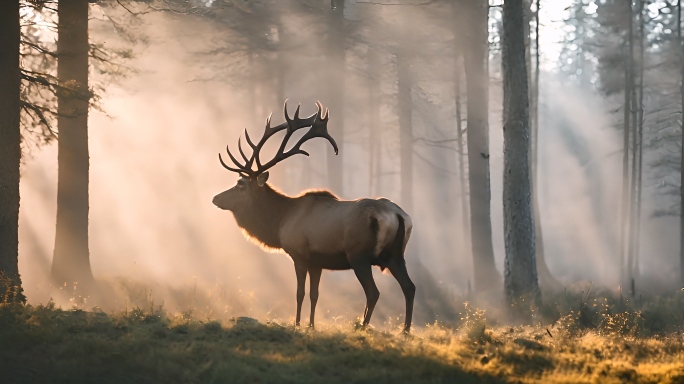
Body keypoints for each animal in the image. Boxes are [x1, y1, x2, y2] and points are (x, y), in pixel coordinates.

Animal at [214, 100, 416, 332]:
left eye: (240, 185)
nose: (215, 198)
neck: (281, 221)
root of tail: (398, 215)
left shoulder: (299, 254)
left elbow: (300, 293)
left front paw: (297, 323)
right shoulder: (317, 261)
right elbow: (315, 295)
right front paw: (311, 325)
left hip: (360, 255)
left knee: (374, 292)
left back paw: (364, 326)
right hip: (396, 255)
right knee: (410, 287)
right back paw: (405, 330)